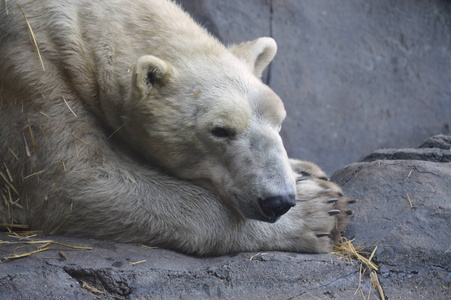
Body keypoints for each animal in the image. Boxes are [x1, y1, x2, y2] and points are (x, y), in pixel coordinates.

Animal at [0, 0, 350, 255]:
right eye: (220, 130)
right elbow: (73, 182)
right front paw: (318, 213)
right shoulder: (31, 70)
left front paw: (312, 175)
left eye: (279, 122)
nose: (278, 201)